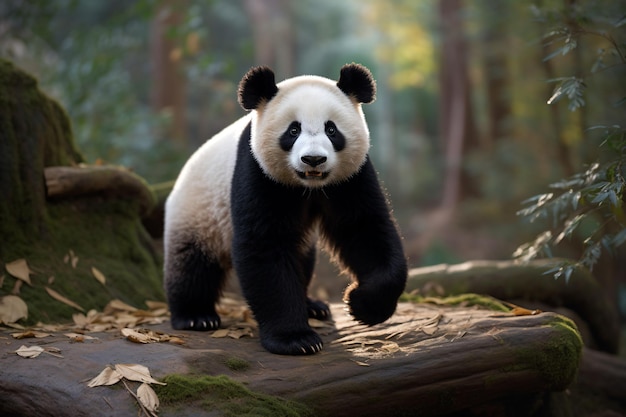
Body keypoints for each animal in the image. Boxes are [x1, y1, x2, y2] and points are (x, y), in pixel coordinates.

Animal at [162, 62, 404, 354]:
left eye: (331, 130)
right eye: (293, 130)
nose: (313, 159)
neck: (309, 186)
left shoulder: (351, 178)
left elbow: (364, 229)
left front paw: (361, 304)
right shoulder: (257, 170)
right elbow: (265, 245)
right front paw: (296, 339)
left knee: (302, 257)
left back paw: (313, 306)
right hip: (197, 212)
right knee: (192, 264)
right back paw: (196, 316)